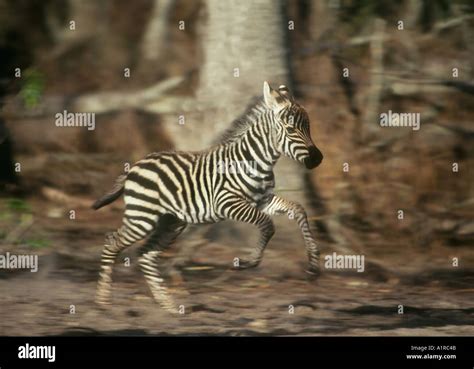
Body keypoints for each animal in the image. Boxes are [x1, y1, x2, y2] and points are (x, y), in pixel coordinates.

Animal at [92, 82, 322, 312]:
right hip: (143, 217)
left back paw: (167, 304)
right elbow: (268, 224)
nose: (318, 159)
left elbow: (298, 210)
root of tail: (133, 167)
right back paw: (103, 301)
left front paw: (313, 264)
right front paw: (250, 261)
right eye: (291, 129)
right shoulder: (227, 203)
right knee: (112, 242)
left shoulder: (263, 200)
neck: (255, 162)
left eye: (308, 127)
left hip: (171, 222)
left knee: (146, 254)